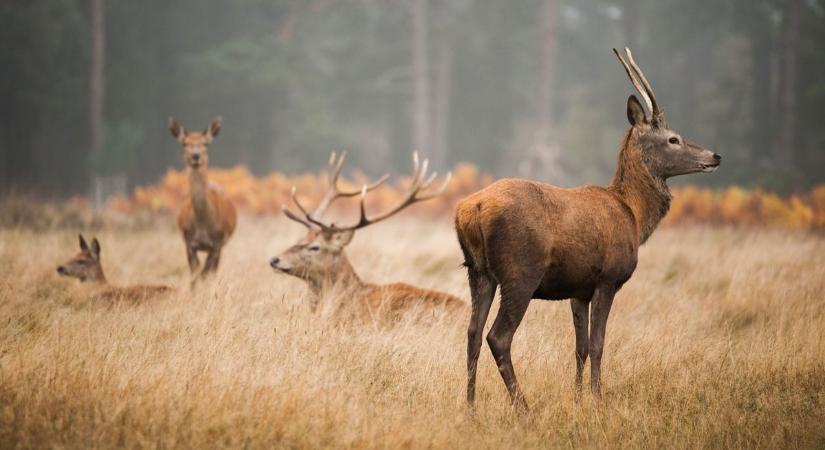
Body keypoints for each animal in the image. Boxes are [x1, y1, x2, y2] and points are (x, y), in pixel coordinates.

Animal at [169, 116, 237, 282]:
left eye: (205, 143)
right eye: (185, 143)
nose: (195, 156)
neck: (202, 225)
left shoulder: (217, 242)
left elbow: (206, 274)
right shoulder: (188, 242)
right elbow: (195, 274)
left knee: (213, 271)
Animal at [458, 48, 720, 408]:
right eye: (673, 138)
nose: (715, 156)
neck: (634, 214)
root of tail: (472, 210)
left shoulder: (578, 289)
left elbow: (579, 348)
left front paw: (578, 398)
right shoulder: (608, 278)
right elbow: (598, 344)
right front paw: (598, 400)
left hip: (478, 271)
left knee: (471, 333)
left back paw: (470, 406)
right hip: (520, 271)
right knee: (497, 336)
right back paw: (523, 407)